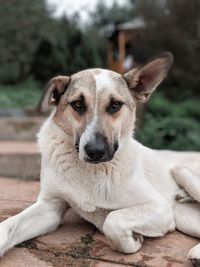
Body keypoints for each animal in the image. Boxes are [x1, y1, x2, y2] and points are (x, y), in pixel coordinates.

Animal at [0, 52, 200, 266]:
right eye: (78, 104)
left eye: (115, 105)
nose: (95, 151)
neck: (92, 170)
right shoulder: (50, 206)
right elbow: (9, 225)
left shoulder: (159, 207)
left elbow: (113, 220)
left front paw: (135, 239)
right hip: (184, 216)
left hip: (180, 172)